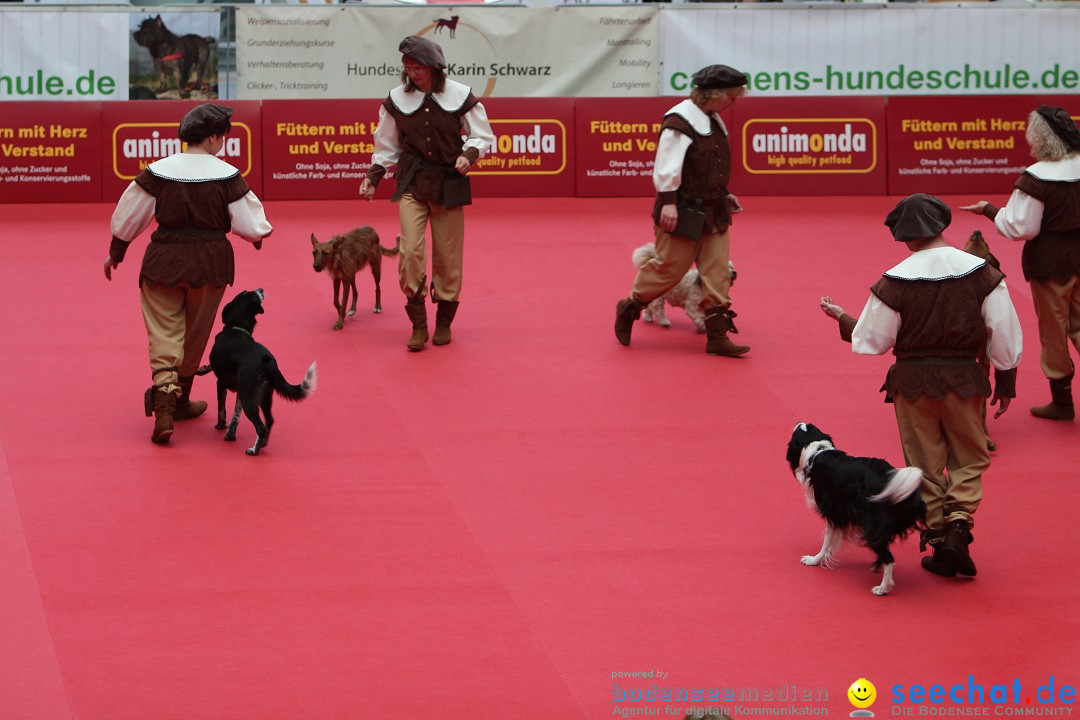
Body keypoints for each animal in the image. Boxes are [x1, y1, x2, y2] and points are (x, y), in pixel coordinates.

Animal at [205, 289, 315, 453]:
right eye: (246, 292)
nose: (261, 289)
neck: (237, 329)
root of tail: (267, 359)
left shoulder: (221, 384)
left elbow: (222, 409)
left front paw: (221, 426)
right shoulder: (240, 392)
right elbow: (235, 416)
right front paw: (230, 434)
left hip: (249, 400)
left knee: (261, 426)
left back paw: (253, 451)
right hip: (264, 396)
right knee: (269, 420)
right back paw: (262, 444)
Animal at [786, 423, 928, 595]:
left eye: (797, 431)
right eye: (809, 426)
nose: (799, 422)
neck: (818, 450)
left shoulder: (834, 512)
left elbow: (827, 540)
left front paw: (814, 560)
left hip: (872, 529)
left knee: (889, 559)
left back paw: (882, 587)